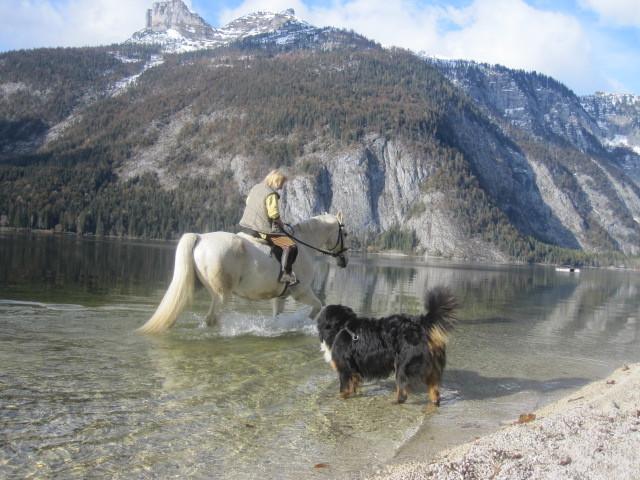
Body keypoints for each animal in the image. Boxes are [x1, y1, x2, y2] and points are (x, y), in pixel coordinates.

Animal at [136, 214, 350, 334]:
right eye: (346, 234)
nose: (344, 260)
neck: (305, 246)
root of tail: (200, 237)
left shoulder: (280, 297)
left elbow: (277, 317)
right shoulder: (302, 292)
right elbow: (317, 307)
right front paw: (305, 323)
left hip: (193, 287)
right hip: (221, 295)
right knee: (211, 320)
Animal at [316, 288, 456, 404]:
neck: (343, 326)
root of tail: (420, 324)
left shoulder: (344, 369)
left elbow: (344, 389)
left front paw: (339, 398)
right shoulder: (353, 371)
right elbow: (353, 385)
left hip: (403, 366)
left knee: (403, 393)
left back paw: (394, 402)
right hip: (431, 370)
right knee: (435, 392)